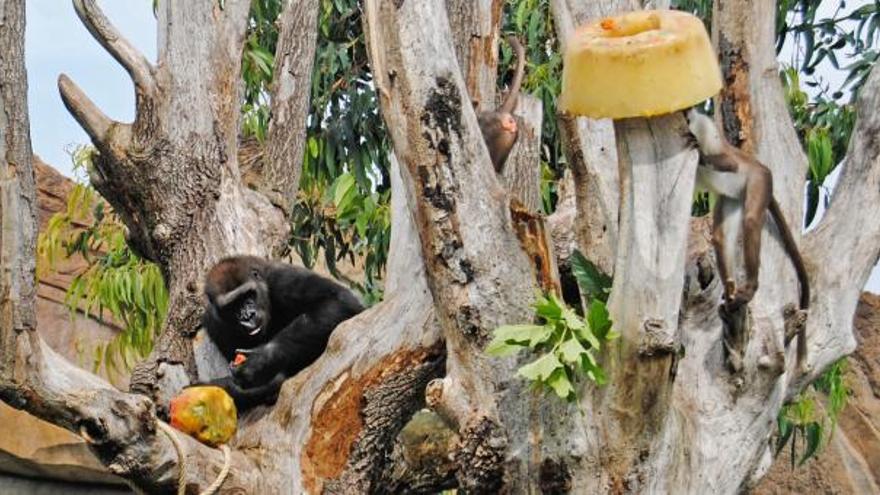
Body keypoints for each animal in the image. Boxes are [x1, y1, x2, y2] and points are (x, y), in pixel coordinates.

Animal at [201, 258, 362, 408]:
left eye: (249, 295)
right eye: (232, 306)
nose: (248, 316)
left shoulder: (283, 278)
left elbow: (337, 300)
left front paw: (261, 360)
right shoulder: (213, 320)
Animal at [688, 108, 812, 364]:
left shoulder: (703, 128)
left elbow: (728, 162)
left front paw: (701, 154)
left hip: (760, 179)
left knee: (752, 220)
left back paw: (750, 288)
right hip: (734, 196)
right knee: (720, 236)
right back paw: (730, 292)